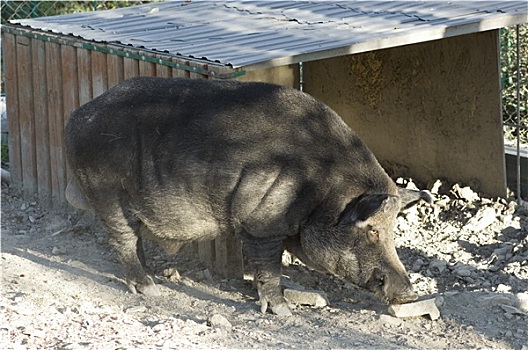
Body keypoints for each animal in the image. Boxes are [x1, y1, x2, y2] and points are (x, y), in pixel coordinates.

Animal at [66, 78, 428, 316]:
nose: (409, 293)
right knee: (123, 240)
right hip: (108, 193)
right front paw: (283, 312)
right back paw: (149, 289)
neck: (321, 189)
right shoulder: (262, 223)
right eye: (372, 230)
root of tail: (75, 118)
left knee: (135, 240)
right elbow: (269, 268)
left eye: (393, 231)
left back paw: (153, 278)